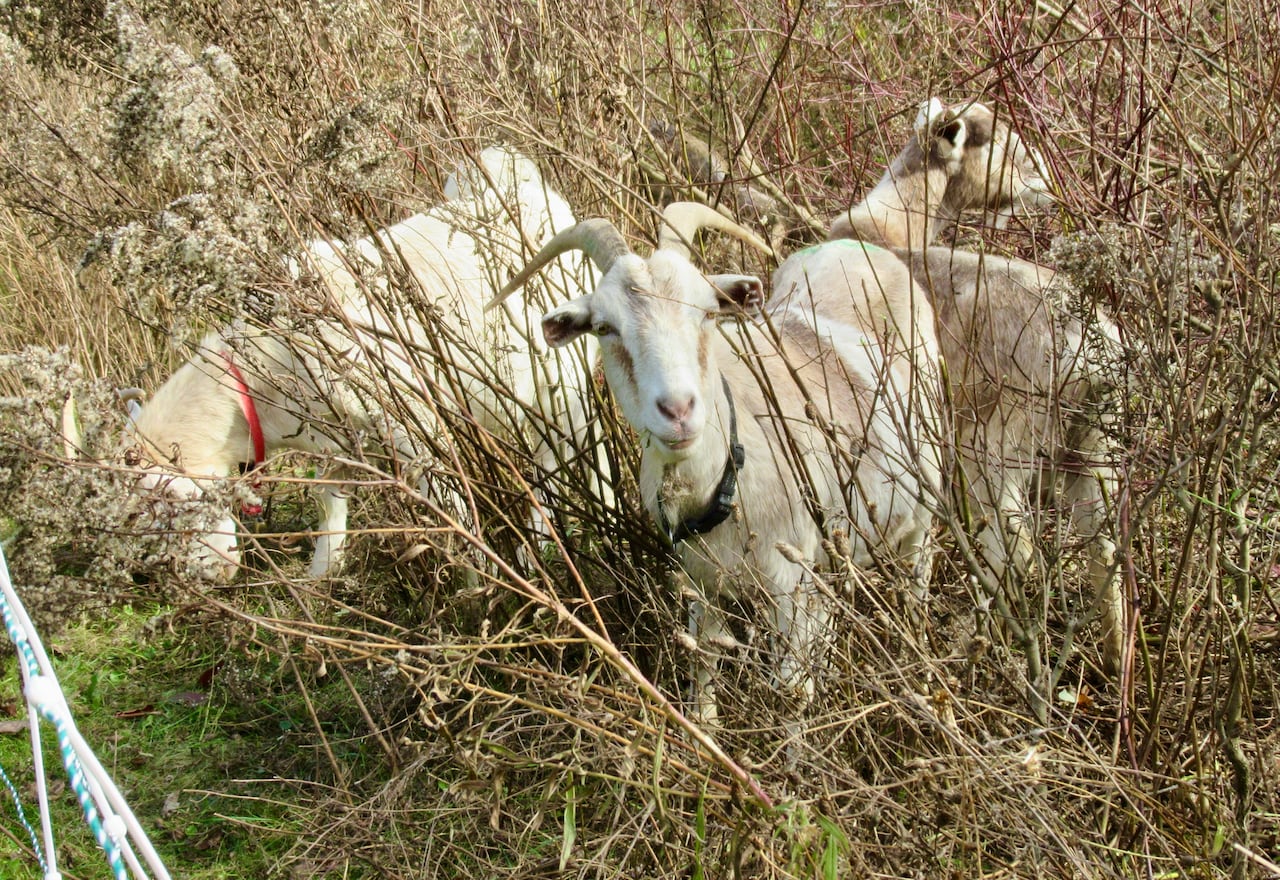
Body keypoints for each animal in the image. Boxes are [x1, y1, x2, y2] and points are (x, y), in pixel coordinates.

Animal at [112, 147, 599, 579]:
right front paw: (323, 572)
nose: (210, 575)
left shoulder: (412, 422)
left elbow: (449, 500)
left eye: (167, 509)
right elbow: (329, 498)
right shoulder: (333, 440)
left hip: (565, 373)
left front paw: (480, 579)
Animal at [490, 202, 941, 722]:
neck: (727, 482)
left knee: (917, 580)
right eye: (604, 328)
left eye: (707, 312)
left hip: (923, 509)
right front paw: (704, 723)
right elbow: (702, 663)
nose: (678, 410)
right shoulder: (700, 582)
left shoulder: (790, 588)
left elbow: (791, 696)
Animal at [828, 98, 1124, 684]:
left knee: (1020, 553)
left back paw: (987, 645)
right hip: (1092, 446)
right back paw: (1116, 660)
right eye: (1005, 147)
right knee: (1105, 555)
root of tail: (1092, 350)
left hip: (995, 445)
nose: (1048, 187)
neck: (891, 225)